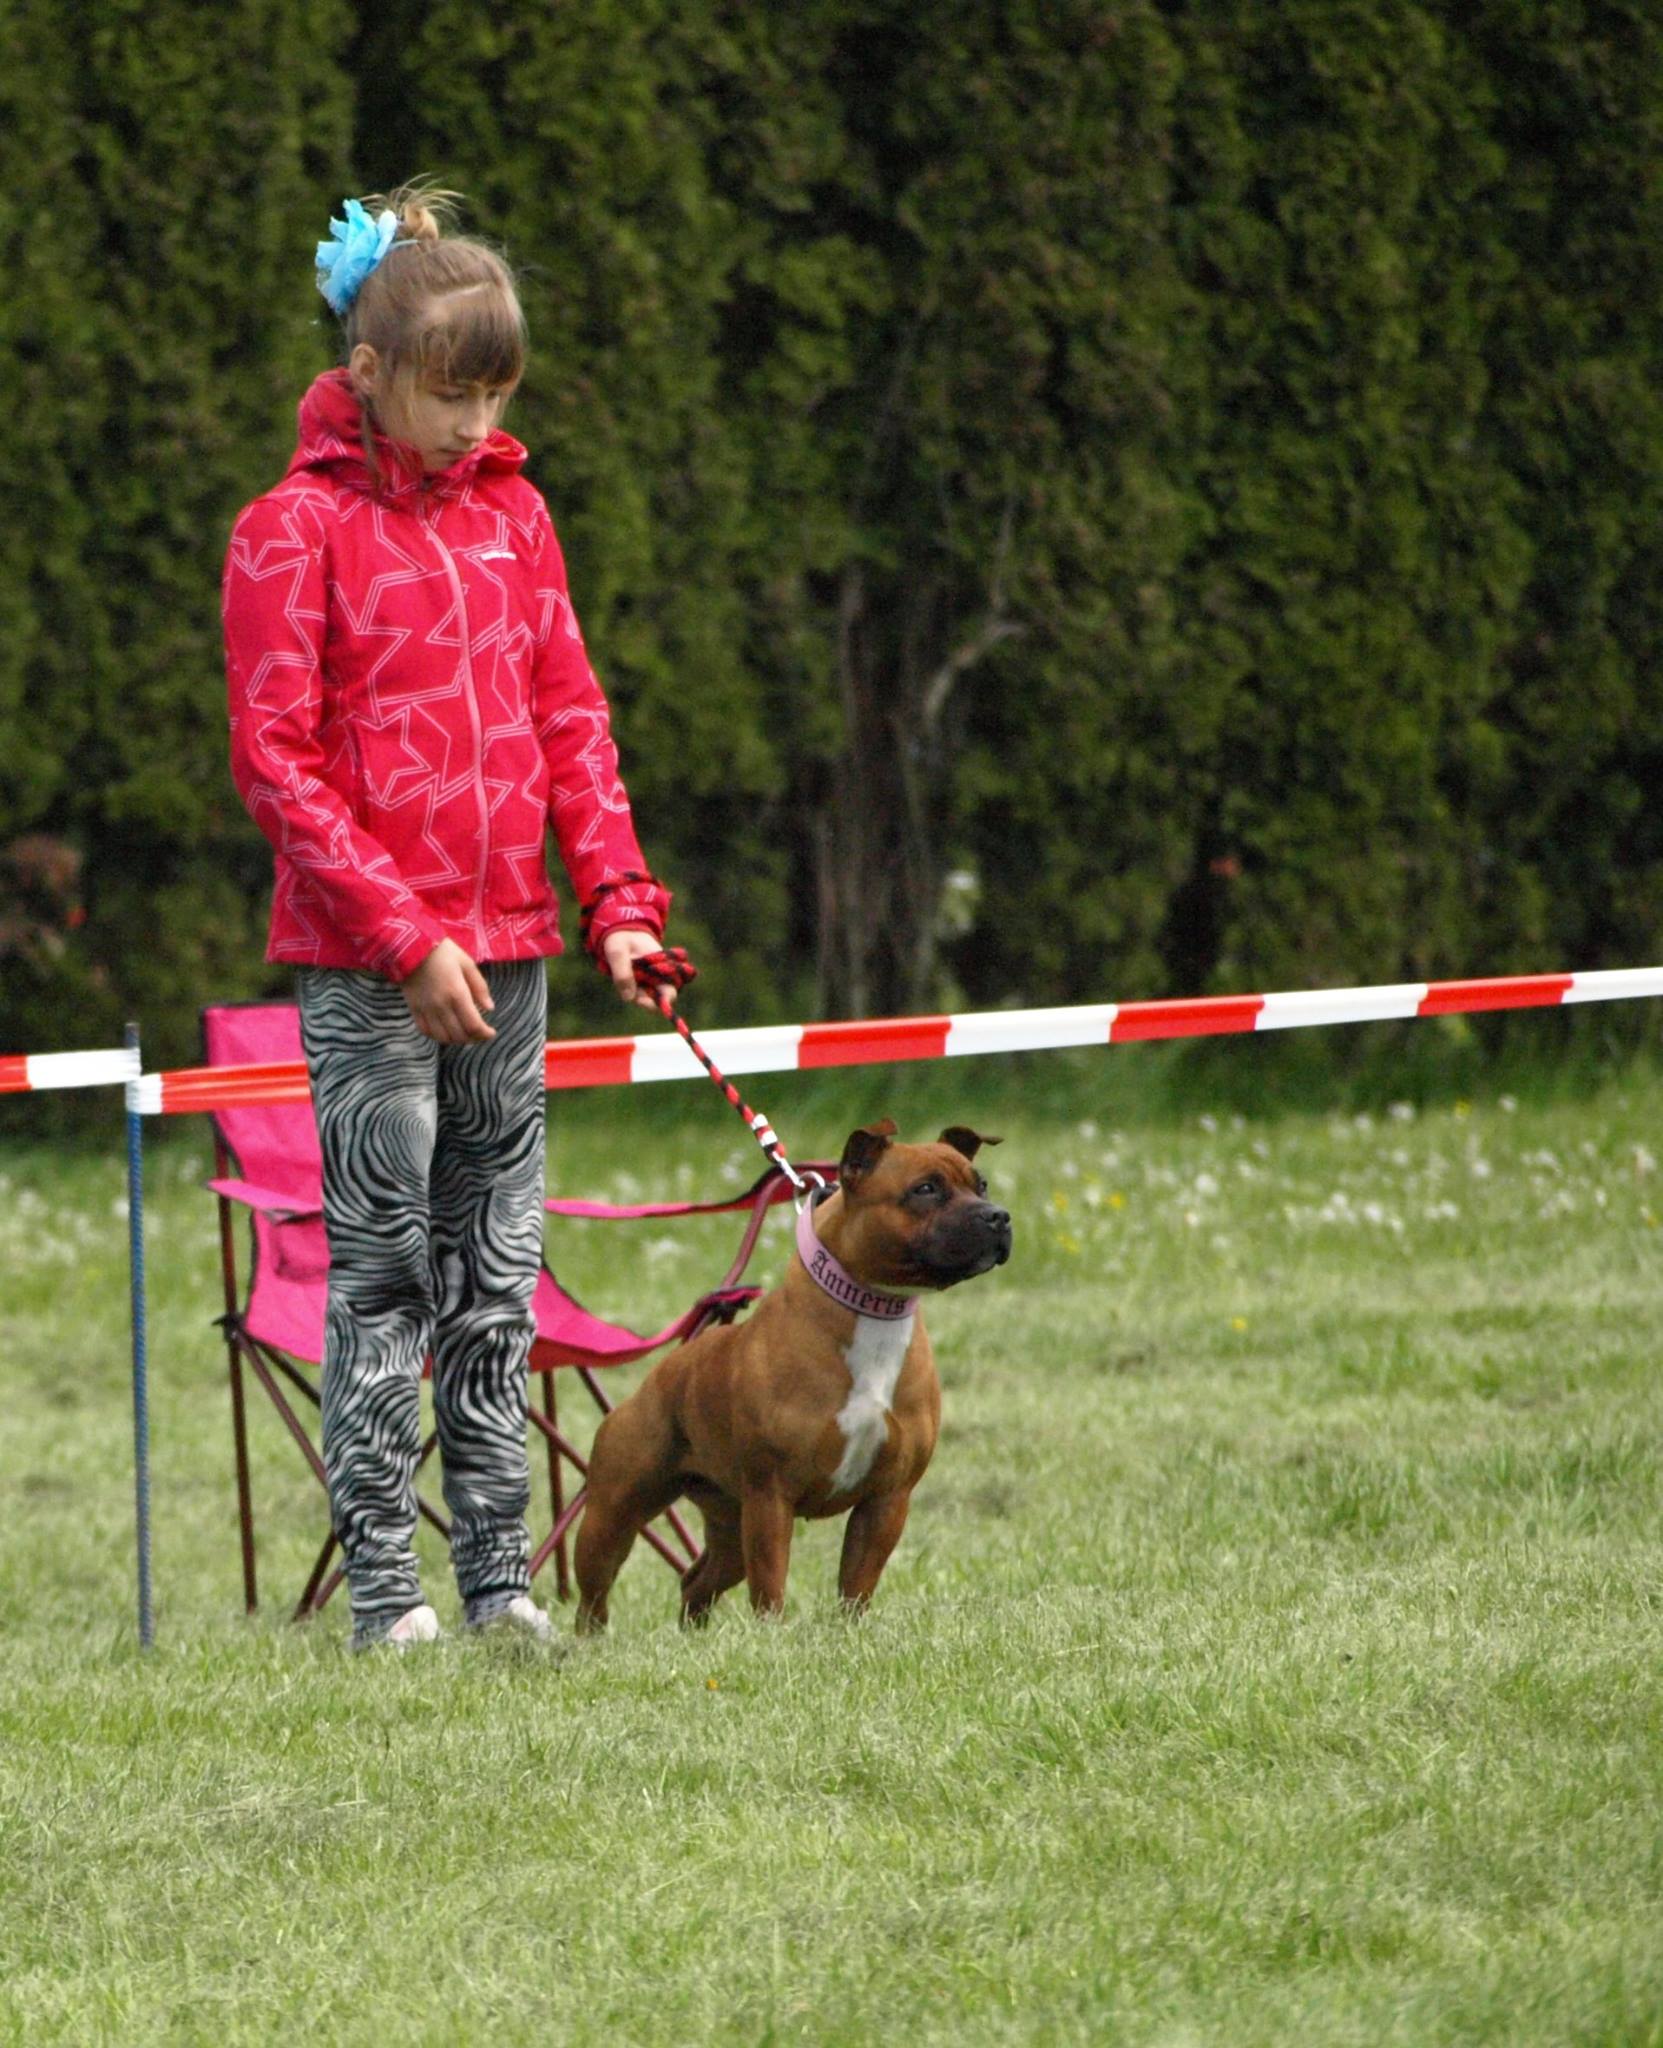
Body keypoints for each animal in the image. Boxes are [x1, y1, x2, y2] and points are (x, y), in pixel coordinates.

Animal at [573, 1120, 1012, 1629]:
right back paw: (589, 1640)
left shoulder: (887, 1498)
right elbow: (771, 1586)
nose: (999, 1217)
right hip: (613, 1514)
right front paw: (772, 1636)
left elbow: (857, 1586)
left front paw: (850, 1633)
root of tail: (660, 1374)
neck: (876, 1310)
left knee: (697, 1580)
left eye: (982, 1185)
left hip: (729, 1524)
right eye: (925, 1189)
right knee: (594, 1593)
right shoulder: (771, 1498)